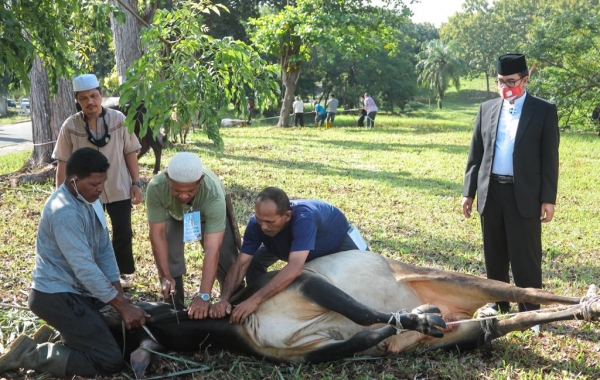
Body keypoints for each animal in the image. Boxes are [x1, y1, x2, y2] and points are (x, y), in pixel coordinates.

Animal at [101, 251, 596, 378]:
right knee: (492, 326)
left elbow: (357, 309)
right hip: (462, 331)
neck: (233, 327)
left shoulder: (299, 284)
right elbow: (363, 336)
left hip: (443, 276)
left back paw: (589, 304)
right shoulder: (310, 355)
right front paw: (416, 321)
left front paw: (415, 316)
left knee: (522, 290)